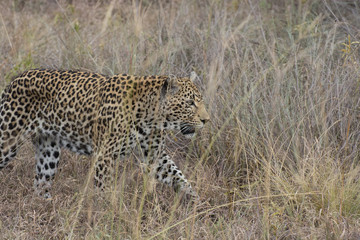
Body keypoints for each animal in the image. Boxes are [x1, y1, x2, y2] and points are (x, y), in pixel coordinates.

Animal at [0, 69, 211, 199]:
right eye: (190, 103)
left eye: (199, 100)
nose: (206, 120)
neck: (152, 116)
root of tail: (14, 80)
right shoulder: (104, 156)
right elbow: (103, 190)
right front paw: (107, 216)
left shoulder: (155, 155)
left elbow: (179, 177)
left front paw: (197, 204)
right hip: (8, 141)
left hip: (48, 151)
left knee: (40, 184)